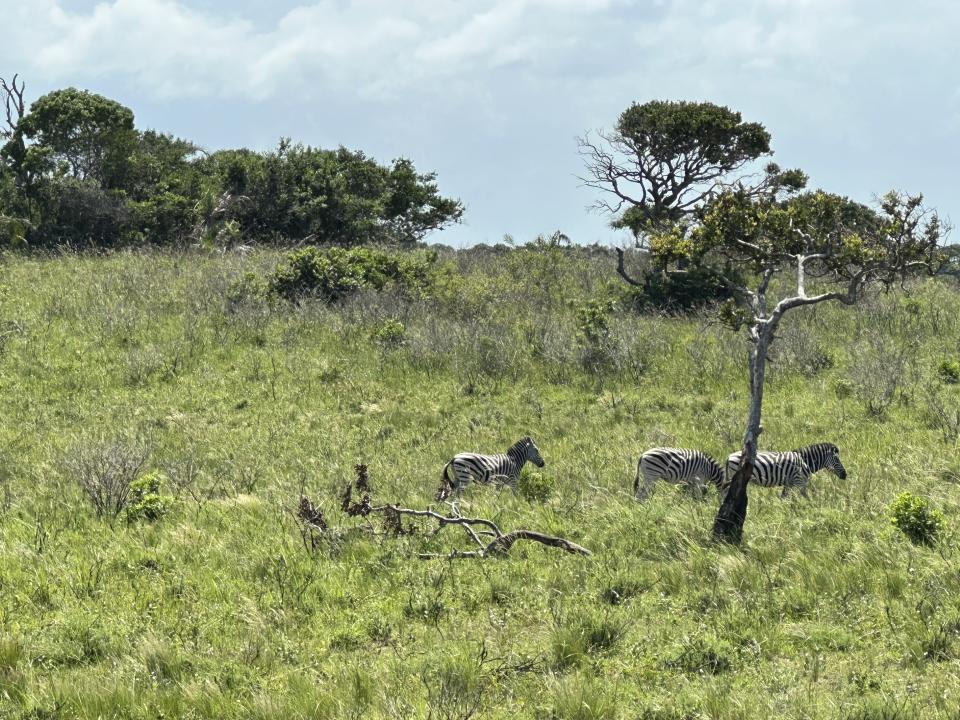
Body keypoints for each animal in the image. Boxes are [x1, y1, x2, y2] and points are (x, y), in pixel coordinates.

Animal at [720, 438, 848, 500]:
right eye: (837, 459)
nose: (845, 475)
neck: (806, 462)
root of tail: (729, 456)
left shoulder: (789, 483)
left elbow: (784, 497)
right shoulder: (800, 481)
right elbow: (806, 497)